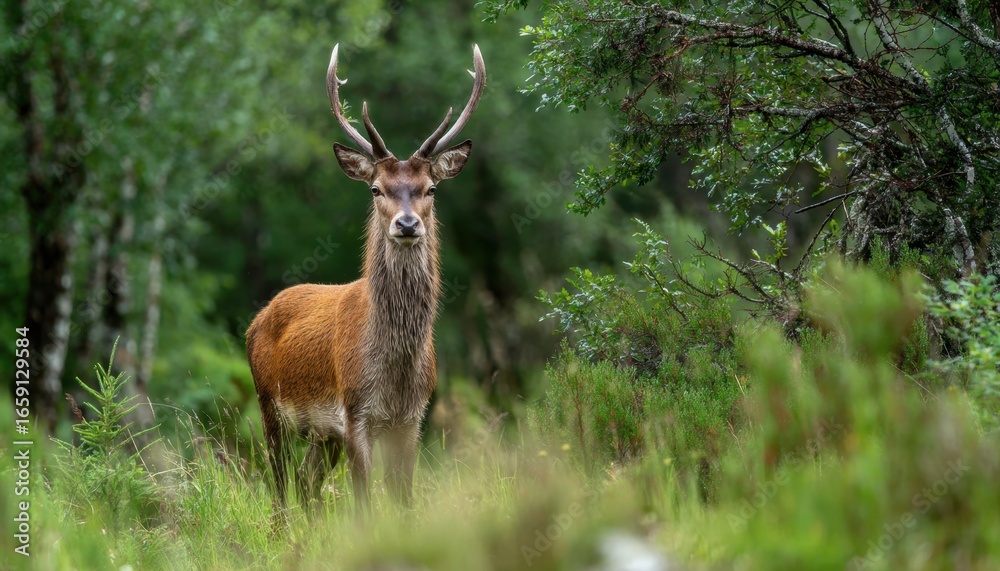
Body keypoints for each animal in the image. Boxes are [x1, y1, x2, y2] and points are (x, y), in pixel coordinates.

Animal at [246, 43, 485, 512]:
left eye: (431, 188)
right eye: (376, 188)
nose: (407, 224)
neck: (394, 371)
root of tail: (257, 318)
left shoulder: (411, 419)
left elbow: (404, 502)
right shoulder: (355, 412)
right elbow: (363, 506)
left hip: (322, 434)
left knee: (307, 483)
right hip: (269, 405)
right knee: (280, 485)